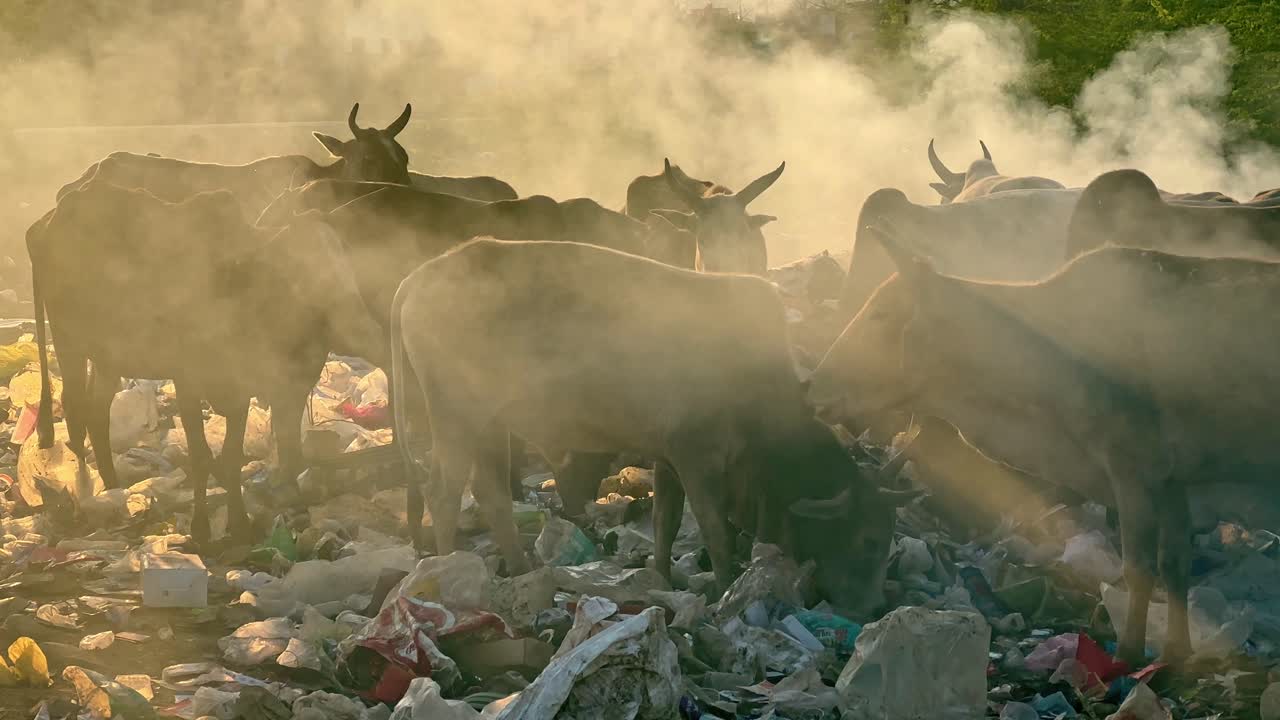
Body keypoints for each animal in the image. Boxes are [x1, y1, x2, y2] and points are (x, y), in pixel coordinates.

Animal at [30, 179, 382, 542]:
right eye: (299, 272)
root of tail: (47, 222)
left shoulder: (244, 390)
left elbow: (232, 456)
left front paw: (240, 523)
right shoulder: (188, 381)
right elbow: (201, 456)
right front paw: (201, 527)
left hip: (108, 358)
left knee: (97, 414)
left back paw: (115, 490)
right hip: (69, 342)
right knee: (75, 414)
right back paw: (88, 495)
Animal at [389, 238, 918, 611]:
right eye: (868, 540)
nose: (875, 607)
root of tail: (419, 278)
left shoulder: (668, 457)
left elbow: (665, 522)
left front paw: (661, 578)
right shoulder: (696, 456)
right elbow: (714, 531)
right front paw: (726, 587)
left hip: (488, 422)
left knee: (491, 492)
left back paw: (518, 566)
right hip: (455, 415)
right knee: (443, 492)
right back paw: (448, 566)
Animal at [809, 227, 1280, 663]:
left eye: (881, 314)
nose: (814, 384)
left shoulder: (1131, 467)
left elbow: (1138, 567)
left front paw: (1128, 656)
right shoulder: (1172, 480)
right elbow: (1174, 564)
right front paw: (1175, 654)